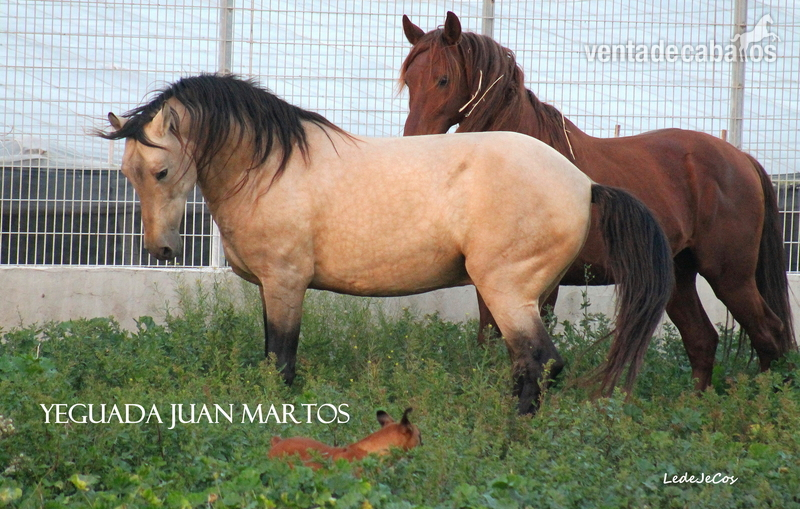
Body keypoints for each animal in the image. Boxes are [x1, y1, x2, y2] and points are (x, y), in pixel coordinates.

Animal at [98, 73, 672, 414]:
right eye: (126, 174)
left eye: (161, 170)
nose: (160, 250)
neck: (271, 170)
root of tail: (584, 183)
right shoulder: (270, 288)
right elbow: (271, 355)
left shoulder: (285, 284)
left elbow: (281, 360)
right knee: (531, 365)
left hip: (509, 293)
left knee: (541, 363)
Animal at [400, 11, 796, 391]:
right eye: (409, 82)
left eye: (443, 79)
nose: (413, 141)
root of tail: (741, 158)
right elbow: (490, 341)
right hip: (680, 276)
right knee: (703, 341)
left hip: (730, 276)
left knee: (769, 335)